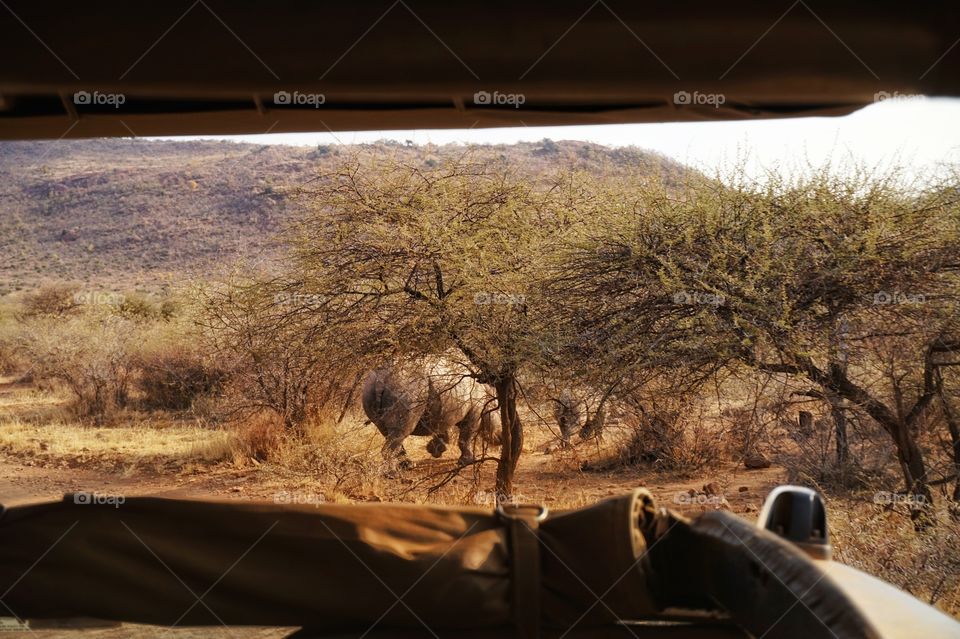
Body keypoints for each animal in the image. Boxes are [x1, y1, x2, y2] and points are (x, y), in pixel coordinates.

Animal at [362, 359, 500, 471]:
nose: (500, 440)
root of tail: (381, 378)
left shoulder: (443, 409)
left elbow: (441, 429)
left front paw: (436, 451)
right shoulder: (475, 410)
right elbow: (466, 437)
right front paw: (467, 462)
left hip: (370, 389)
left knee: (388, 432)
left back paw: (408, 466)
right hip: (406, 388)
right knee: (401, 431)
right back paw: (392, 474)